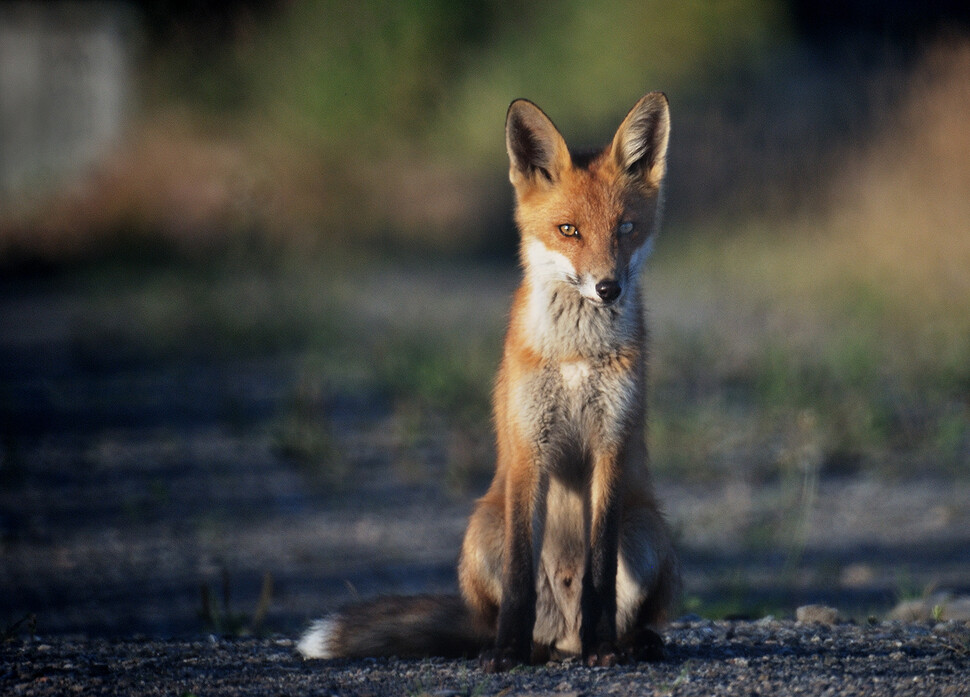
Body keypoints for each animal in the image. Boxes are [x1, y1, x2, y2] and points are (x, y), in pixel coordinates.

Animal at [298, 92, 676, 668]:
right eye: (569, 230)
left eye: (626, 228)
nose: (607, 288)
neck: (575, 355)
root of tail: (562, 638)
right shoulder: (529, 450)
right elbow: (520, 576)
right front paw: (506, 654)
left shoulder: (610, 446)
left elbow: (600, 573)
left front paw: (604, 647)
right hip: (482, 530)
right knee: (511, 618)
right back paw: (523, 646)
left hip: (648, 530)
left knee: (621, 604)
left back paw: (625, 643)